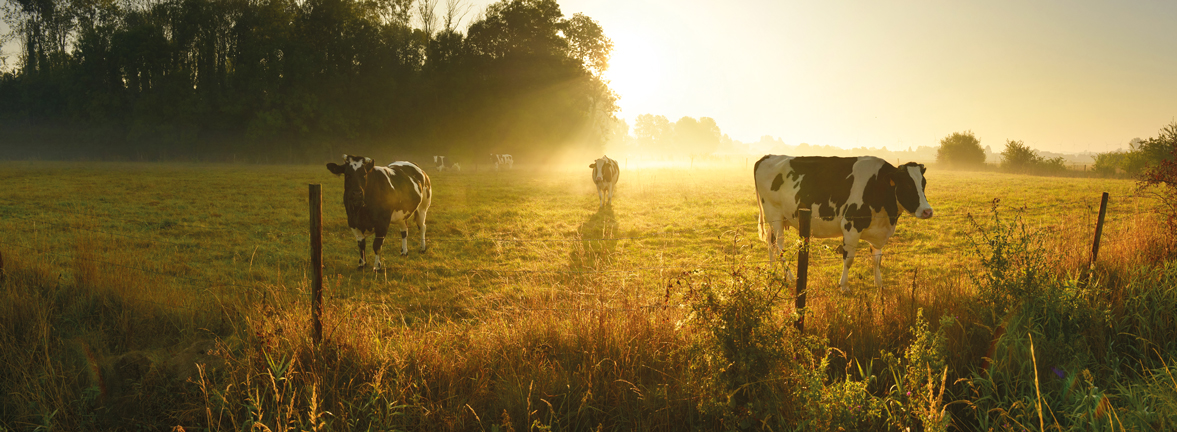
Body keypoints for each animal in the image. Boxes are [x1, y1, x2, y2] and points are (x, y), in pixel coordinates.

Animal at [753, 154, 936, 293]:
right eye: (907, 184)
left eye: (924, 183)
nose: (928, 211)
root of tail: (768, 156)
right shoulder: (851, 226)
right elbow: (849, 259)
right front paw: (844, 286)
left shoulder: (878, 231)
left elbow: (877, 259)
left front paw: (879, 284)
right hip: (774, 213)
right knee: (779, 246)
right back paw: (790, 276)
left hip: (778, 218)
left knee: (770, 242)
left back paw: (773, 272)